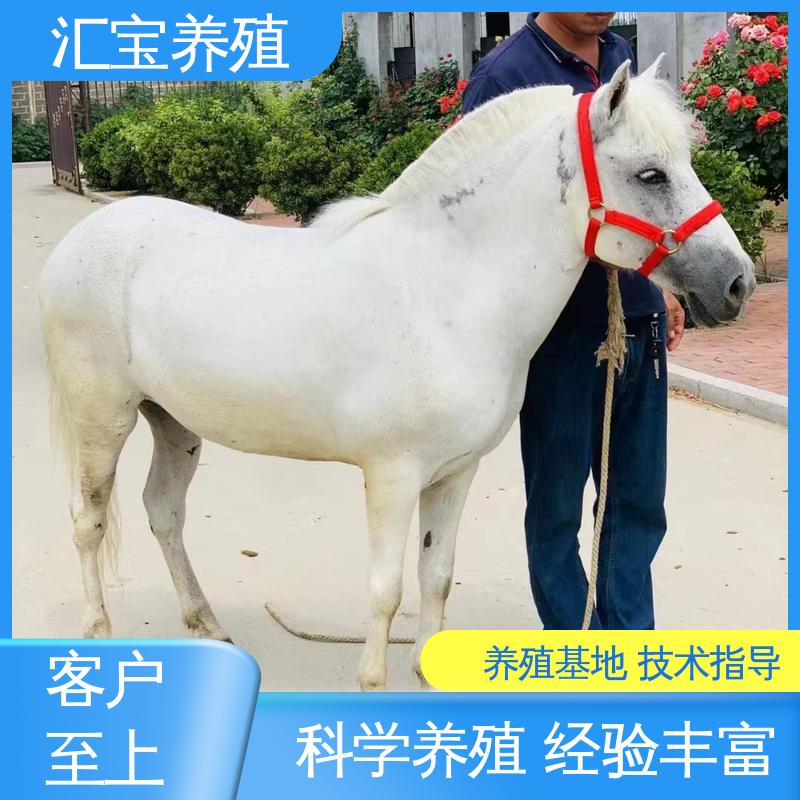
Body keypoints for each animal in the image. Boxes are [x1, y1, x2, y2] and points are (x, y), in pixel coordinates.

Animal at [39, 61, 754, 690]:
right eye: (651, 174)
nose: (737, 282)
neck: (446, 290)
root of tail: (80, 240)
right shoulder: (392, 476)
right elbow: (386, 592)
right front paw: (372, 683)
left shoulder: (455, 473)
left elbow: (436, 576)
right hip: (105, 419)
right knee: (87, 521)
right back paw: (98, 633)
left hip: (174, 423)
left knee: (163, 512)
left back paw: (207, 625)